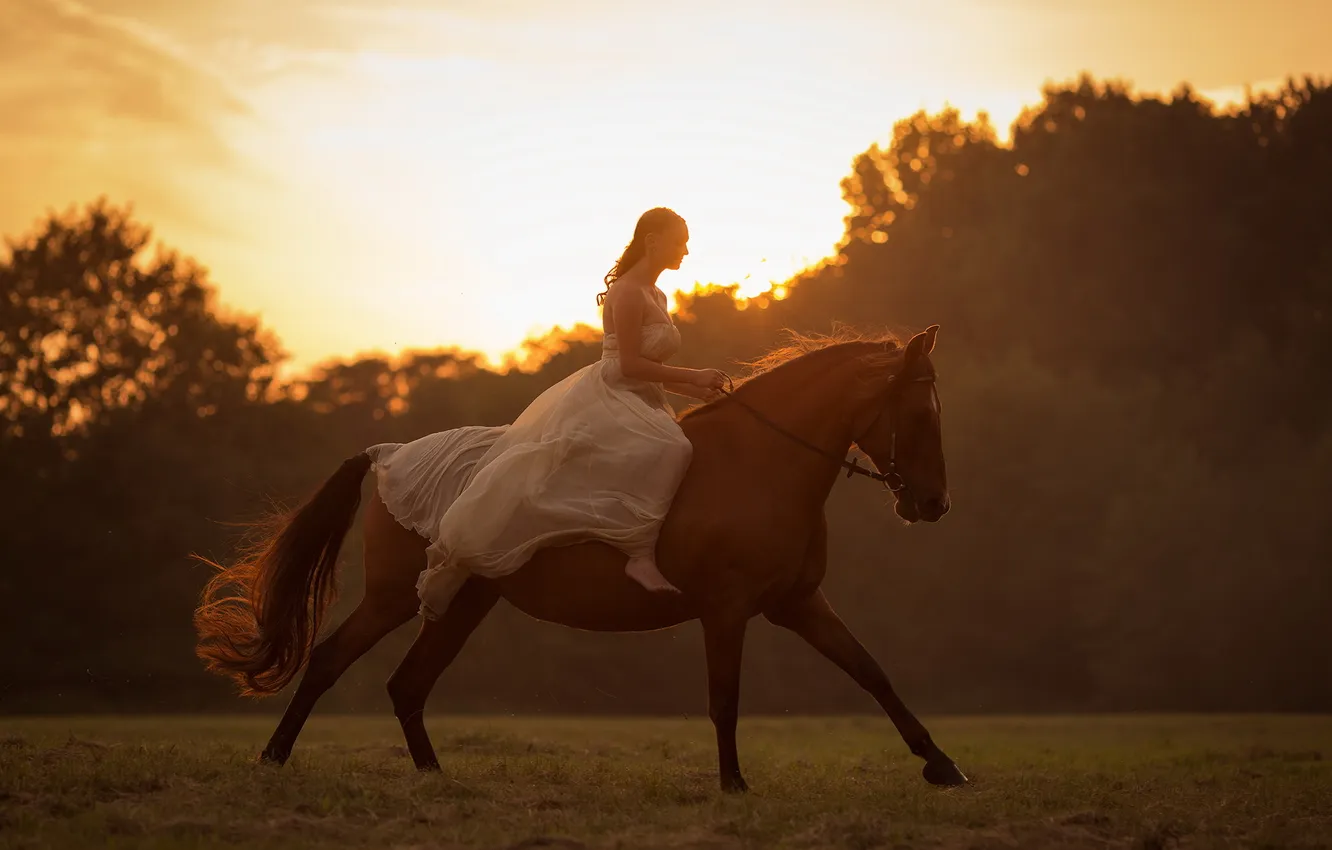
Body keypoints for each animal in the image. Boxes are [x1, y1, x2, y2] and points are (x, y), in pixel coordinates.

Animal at [193, 324, 967, 792]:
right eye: (921, 413)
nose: (933, 504)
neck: (762, 463)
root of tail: (388, 454)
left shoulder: (798, 603)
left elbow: (872, 673)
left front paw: (942, 764)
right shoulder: (728, 611)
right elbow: (724, 699)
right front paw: (733, 785)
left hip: (464, 603)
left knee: (406, 686)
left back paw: (435, 779)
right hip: (394, 598)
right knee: (331, 660)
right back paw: (273, 759)